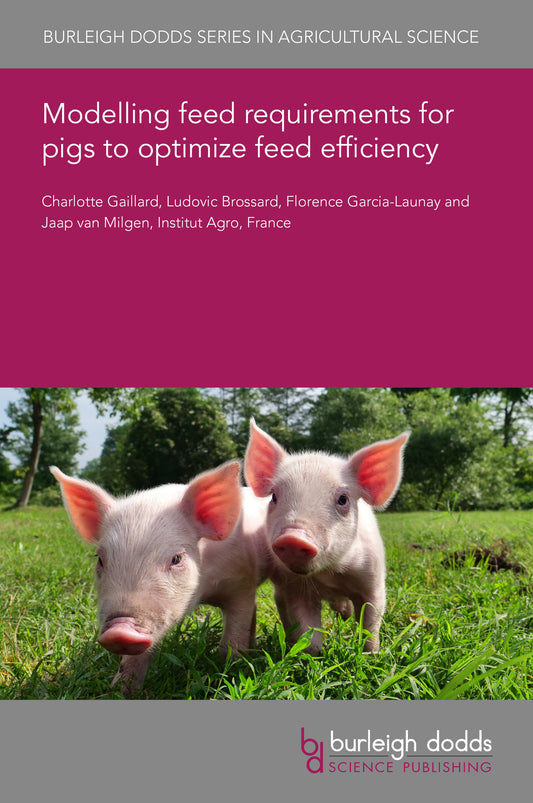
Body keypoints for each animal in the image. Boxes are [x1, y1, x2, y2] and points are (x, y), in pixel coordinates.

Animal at [51, 461, 271, 693]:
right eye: (100, 559)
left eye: (176, 558)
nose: (119, 630)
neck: (204, 592)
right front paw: (120, 689)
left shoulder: (242, 584)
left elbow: (233, 636)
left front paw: (231, 671)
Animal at [244, 420, 409, 654]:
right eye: (274, 496)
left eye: (343, 499)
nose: (293, 537)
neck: (330, 575)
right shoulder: (295, 588)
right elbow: (308, 631)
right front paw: (311, 654)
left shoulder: (373, 580)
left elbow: (370, 622)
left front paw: (371, 654)